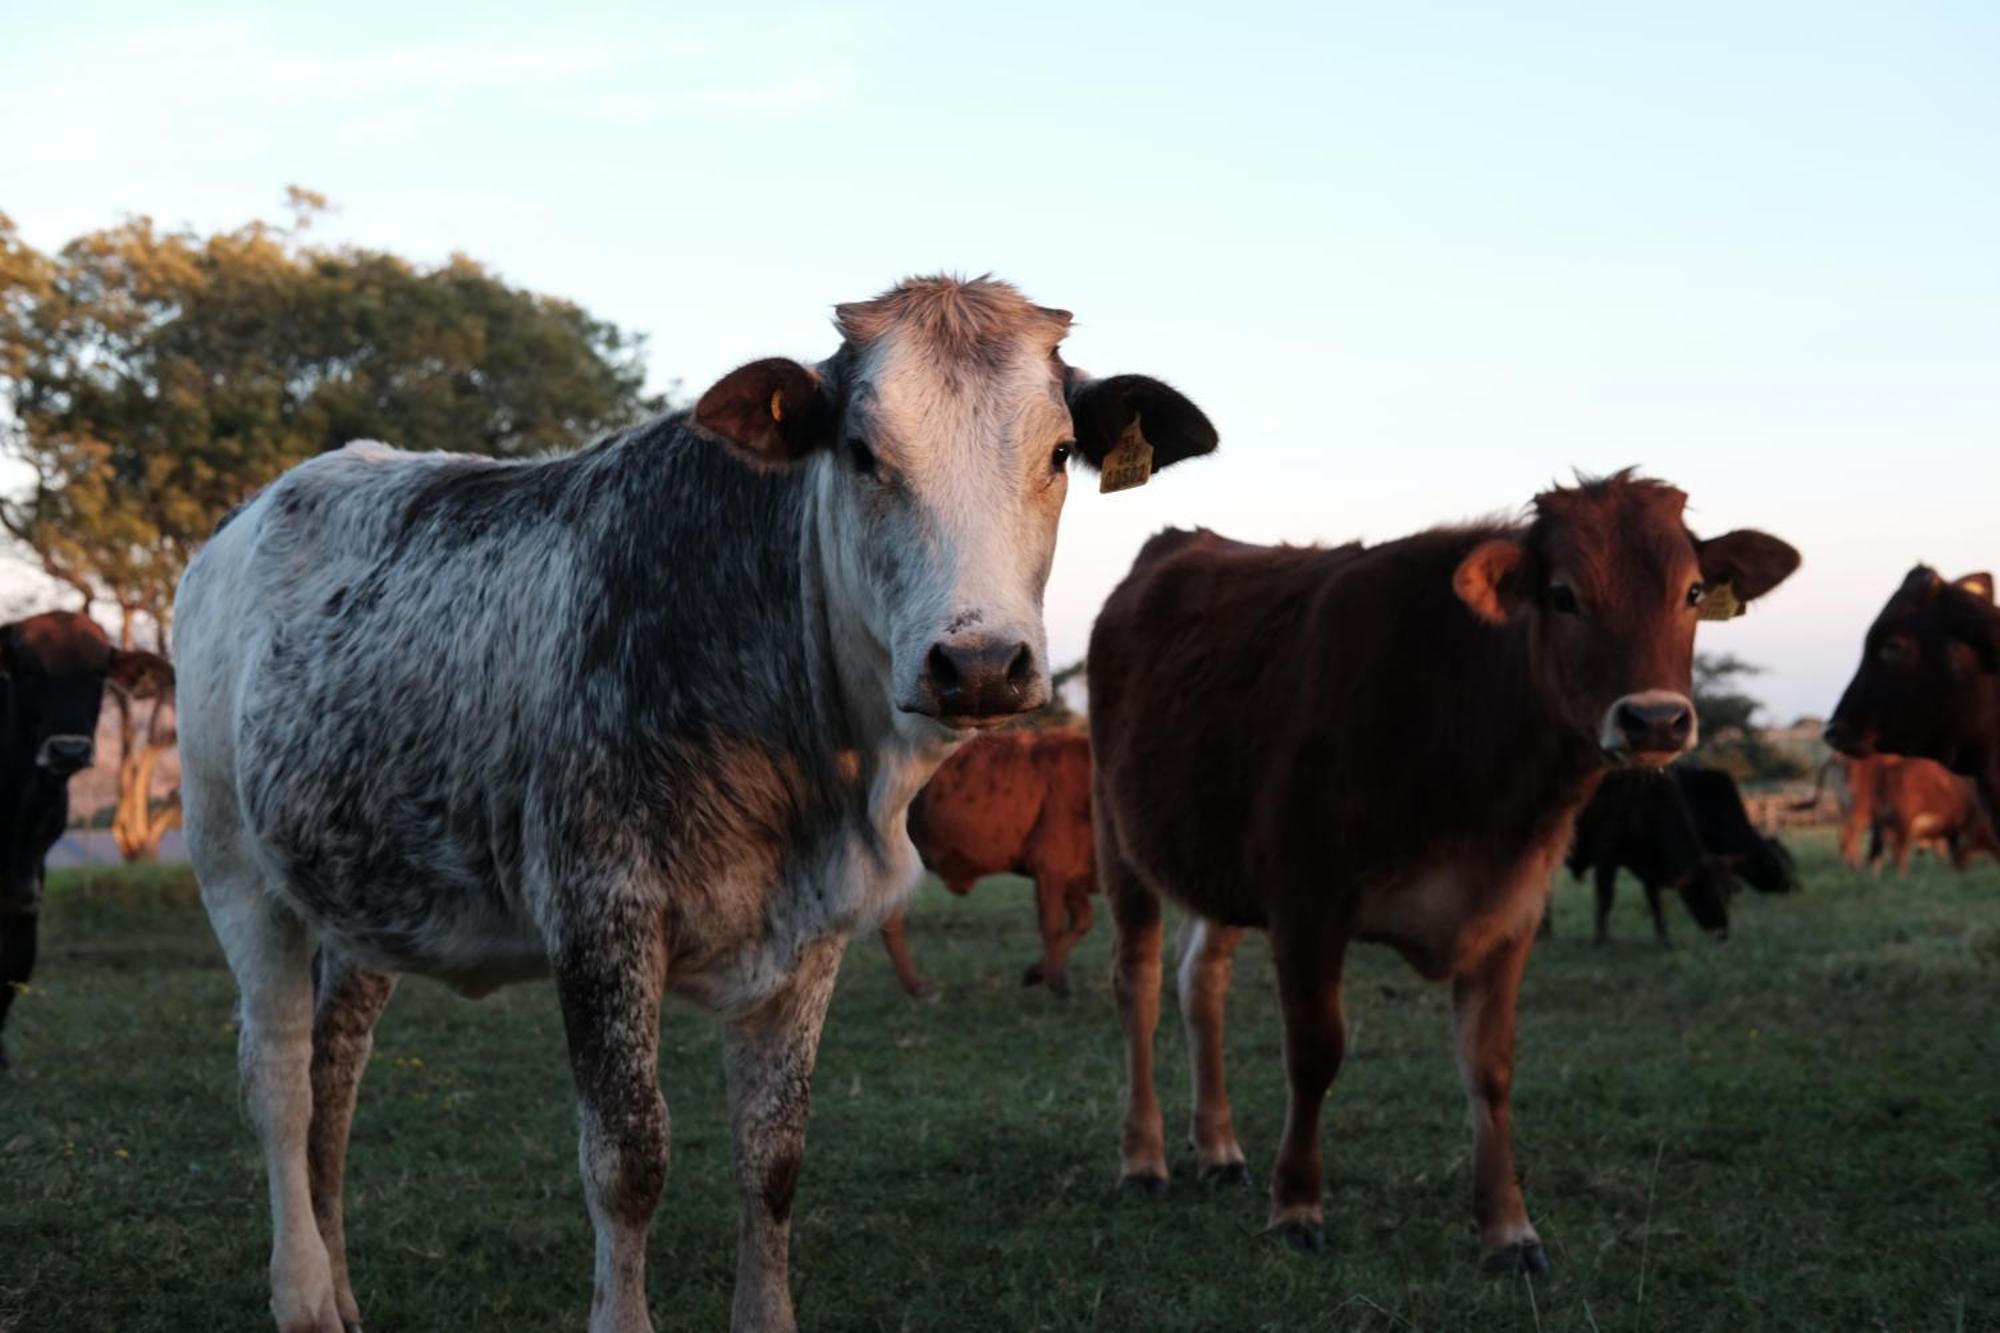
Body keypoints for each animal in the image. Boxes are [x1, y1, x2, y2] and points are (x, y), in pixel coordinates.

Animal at [876, 728, 1096, 996]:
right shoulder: (1050, 868)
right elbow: (1052, 927)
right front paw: (1055, 983)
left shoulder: (1071, 879)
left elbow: (1082, 921)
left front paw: (1036, 973)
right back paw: (917, 987)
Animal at [1560, 756, 1800, 944]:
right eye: (1774, 863)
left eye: (1728, 894)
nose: (1723, 933)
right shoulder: (1607, 859)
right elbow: (1605, 899)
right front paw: (1601, 940)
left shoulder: (1651, 864)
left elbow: (1656, 901)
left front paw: (1665, 939)